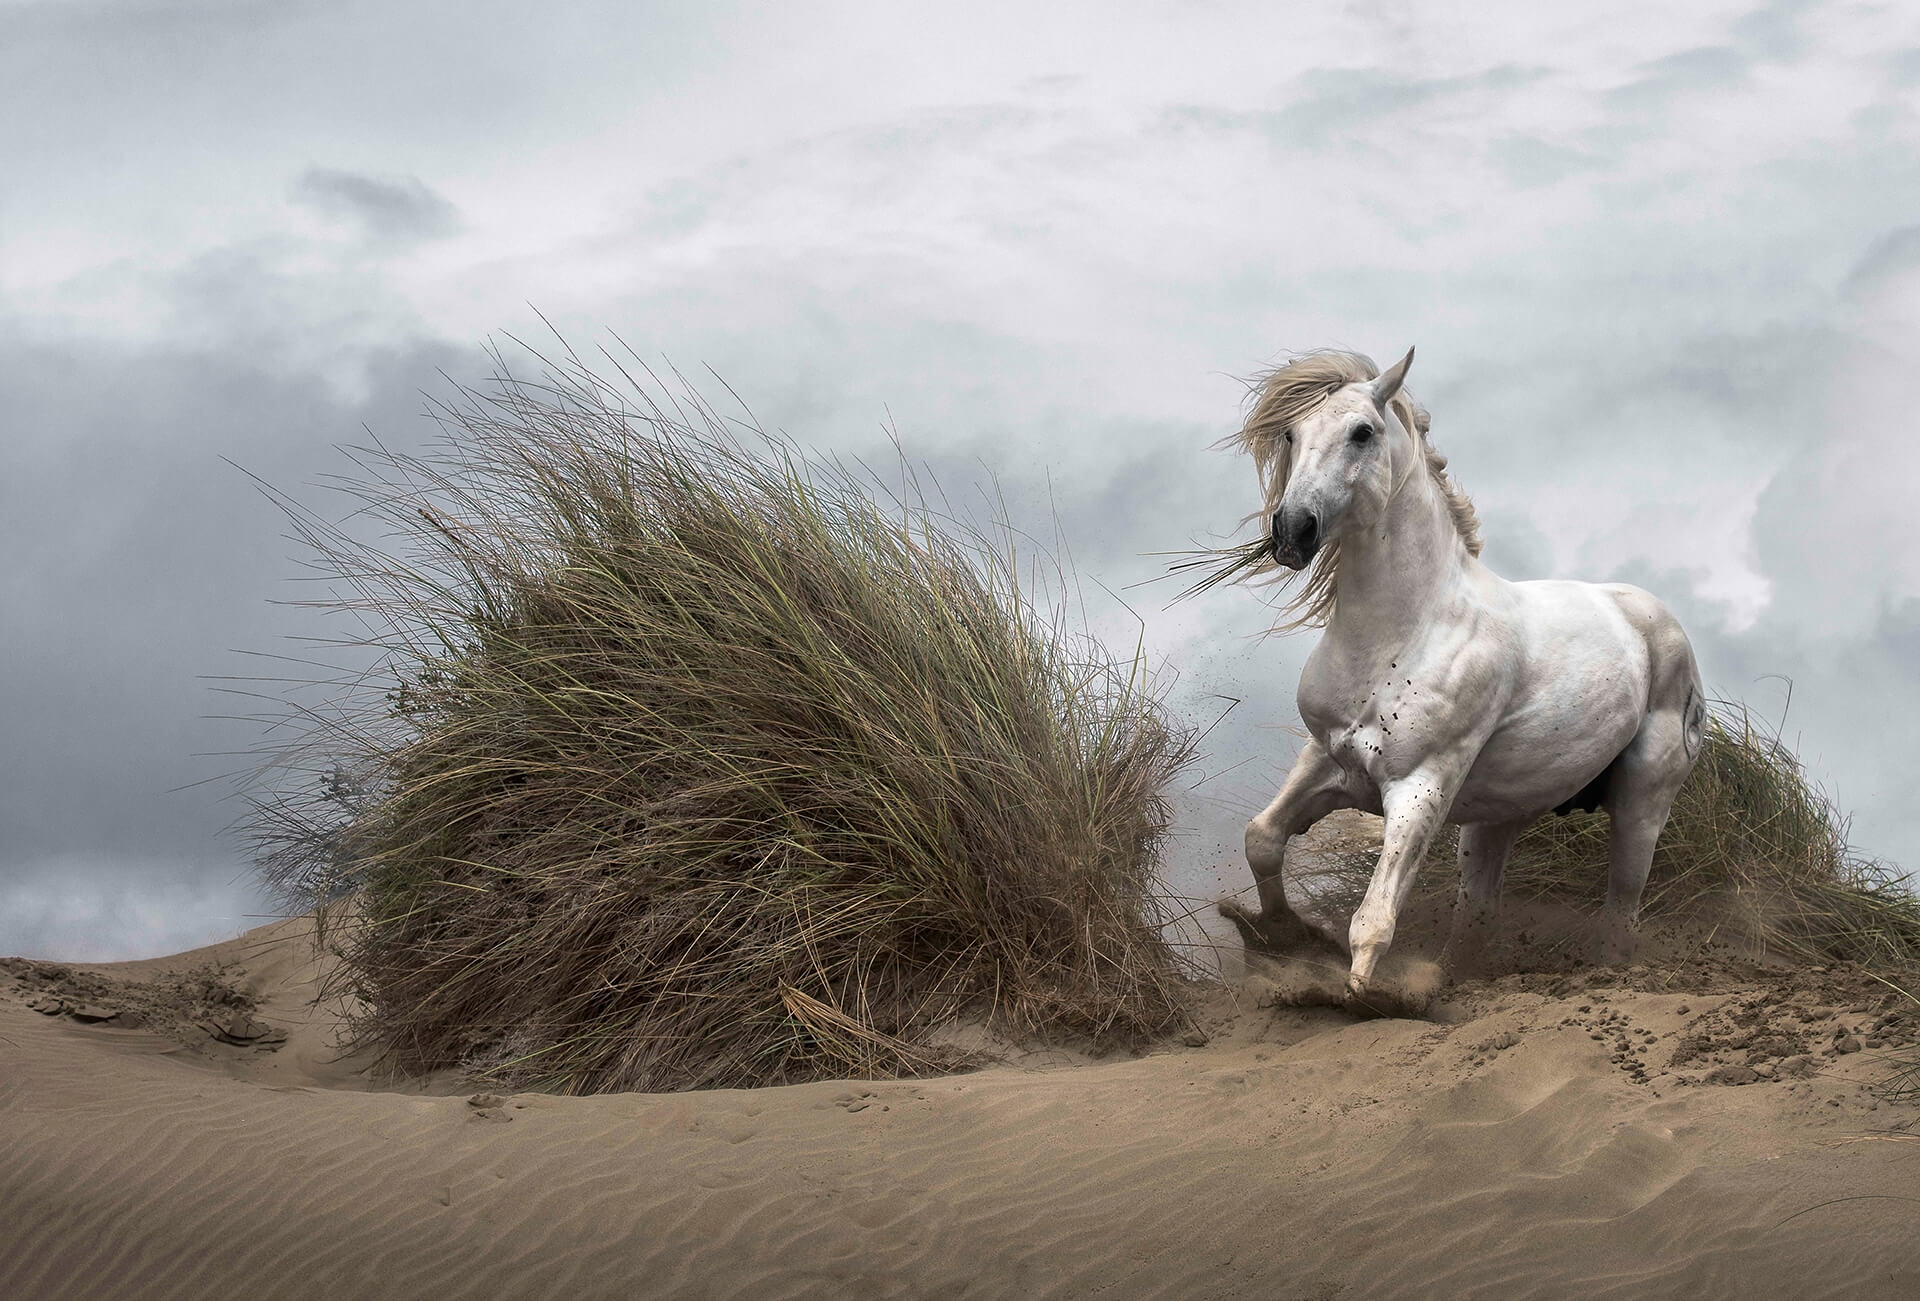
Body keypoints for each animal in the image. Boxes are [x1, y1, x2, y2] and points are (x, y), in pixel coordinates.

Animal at [1215, 347, 1706, 1011]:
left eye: (1362, 432)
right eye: (1291, 433)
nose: (1293, 531)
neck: (1408, 627)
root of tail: (1657, 621)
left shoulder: (1420, 787)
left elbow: (1375, 919)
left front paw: (1357, 999)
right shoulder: (1326, 759)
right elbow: (1262, 839)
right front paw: (1283, 940)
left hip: (1641, 808)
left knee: (1619, 915)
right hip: (1494, 821)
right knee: (1477, 915)